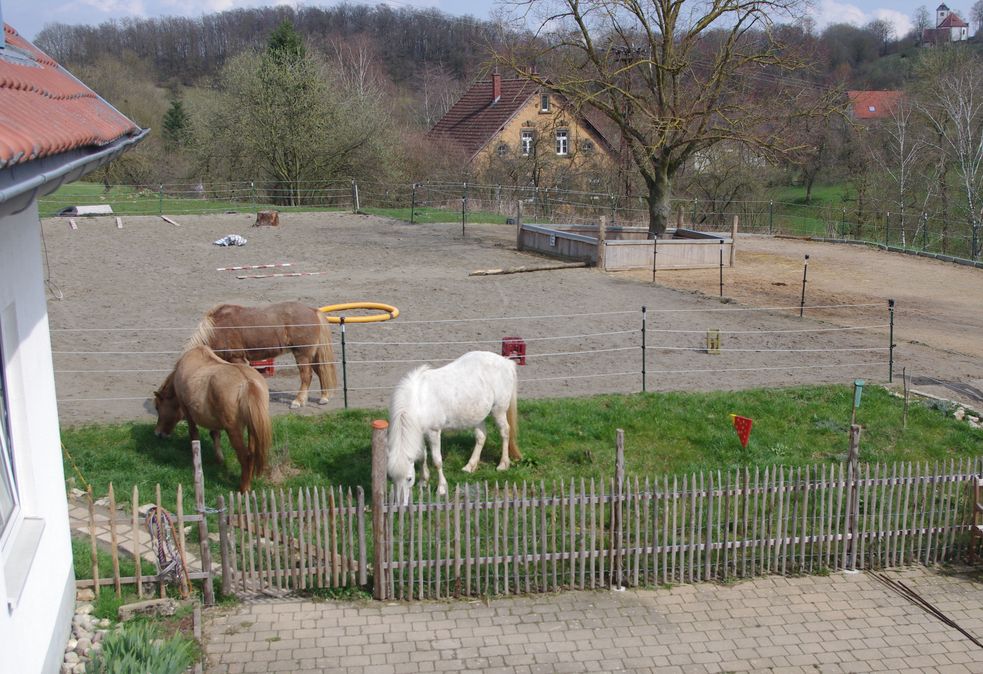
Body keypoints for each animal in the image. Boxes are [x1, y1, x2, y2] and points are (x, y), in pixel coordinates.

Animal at [157, 344, 272, 490]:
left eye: (158, 407)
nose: (158, 433)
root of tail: (248, 383)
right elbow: (215, 434)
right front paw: (219, 459)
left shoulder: (187, 411)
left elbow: (194, 434)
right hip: (252, 428)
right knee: (252, 454)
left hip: (233, 429)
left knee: (245, 456)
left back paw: (244, 488)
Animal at [185, 302, 338, 406]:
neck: (217, 329)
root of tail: (313, 310)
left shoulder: (237, 358)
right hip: (312, 354)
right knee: (321, 371)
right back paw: (324, 397)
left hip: (303, 355)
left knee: (307, 376)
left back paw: (298, 401)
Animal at [386, 350, 524, 502]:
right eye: (391, 477)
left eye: (409, 479)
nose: (400, 504)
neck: (419, 401)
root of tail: (506, 362)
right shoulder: (420, 432)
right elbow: (422, 456)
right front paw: (423, 481)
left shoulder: (434, 432)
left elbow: (437, 460)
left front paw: (441, 488)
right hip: (478, 415)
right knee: (481, 437)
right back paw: (470, 466)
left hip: (498, 410)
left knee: (505, 432)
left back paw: (503, 464)